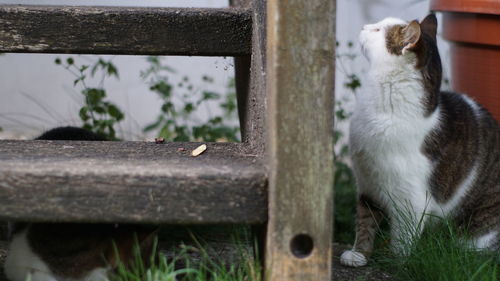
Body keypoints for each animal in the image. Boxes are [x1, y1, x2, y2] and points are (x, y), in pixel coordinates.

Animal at [342, 14, 498, 266]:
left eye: (377, 30)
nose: (365, 26)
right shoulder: (367, 182)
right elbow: (365, 220)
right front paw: (359, 254)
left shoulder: (410, 198)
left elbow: (403, 236)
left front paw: (397, 262)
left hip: (478, 229)